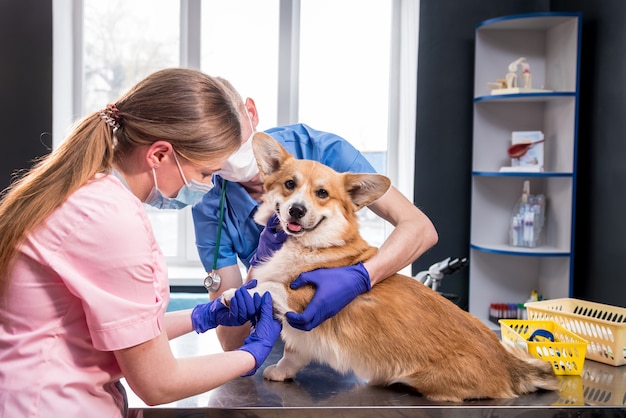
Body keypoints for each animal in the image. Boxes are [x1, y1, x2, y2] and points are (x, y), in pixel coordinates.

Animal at [222, 133, 560, 402]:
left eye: (322, 193)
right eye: (290, 185)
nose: (296, 210)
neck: (309, 246)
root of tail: (509, 363)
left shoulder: (307, 299)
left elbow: (268, 286)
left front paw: (232, 294)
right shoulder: (302, 334)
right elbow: (292, 353)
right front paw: (280, 371)